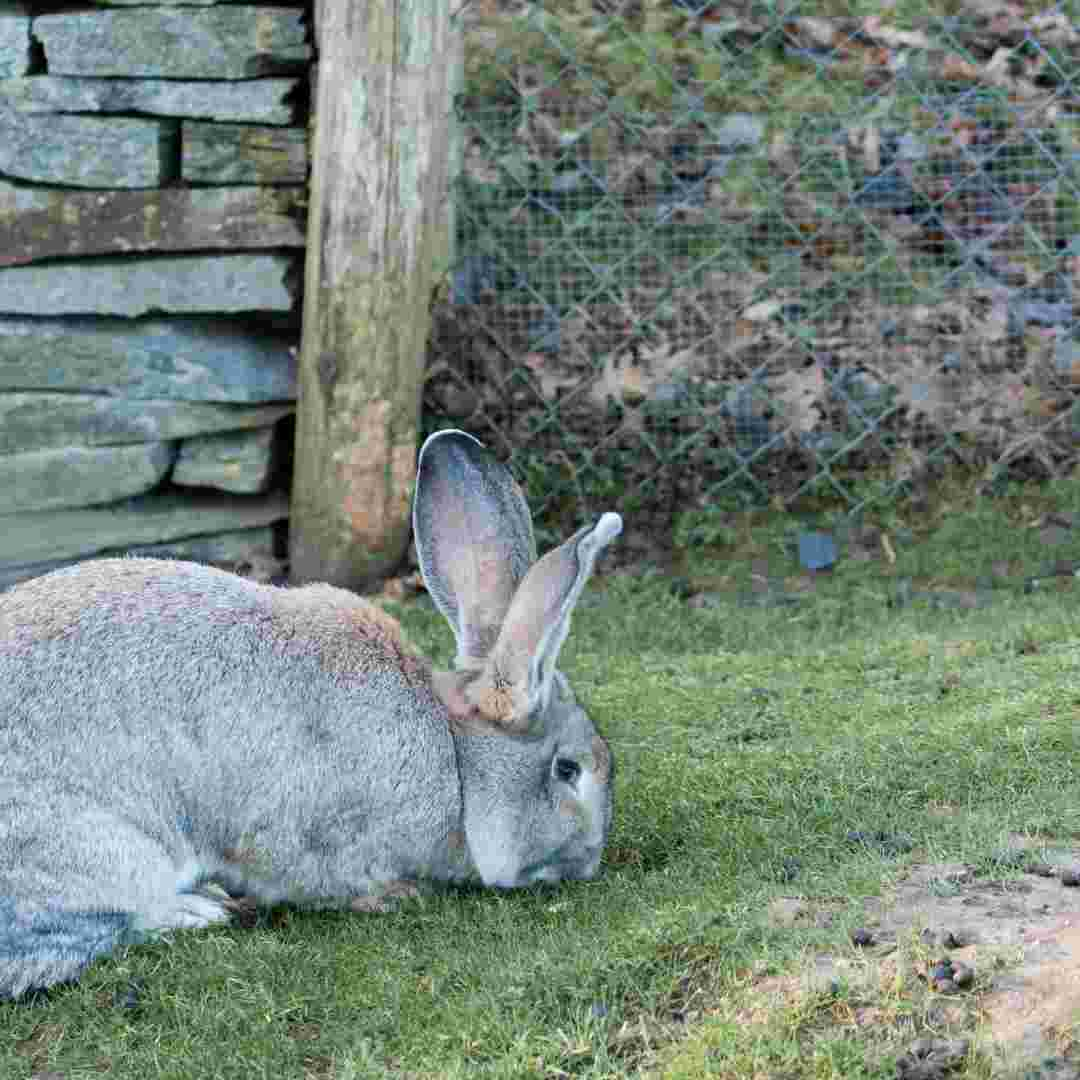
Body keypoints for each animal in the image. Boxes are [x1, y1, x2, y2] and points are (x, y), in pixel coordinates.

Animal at [0, 425, 626, 997]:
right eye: (568, 770)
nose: (589, 861)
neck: (455, 760)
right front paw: (392, 896)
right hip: (103, 851)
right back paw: (198, 909)